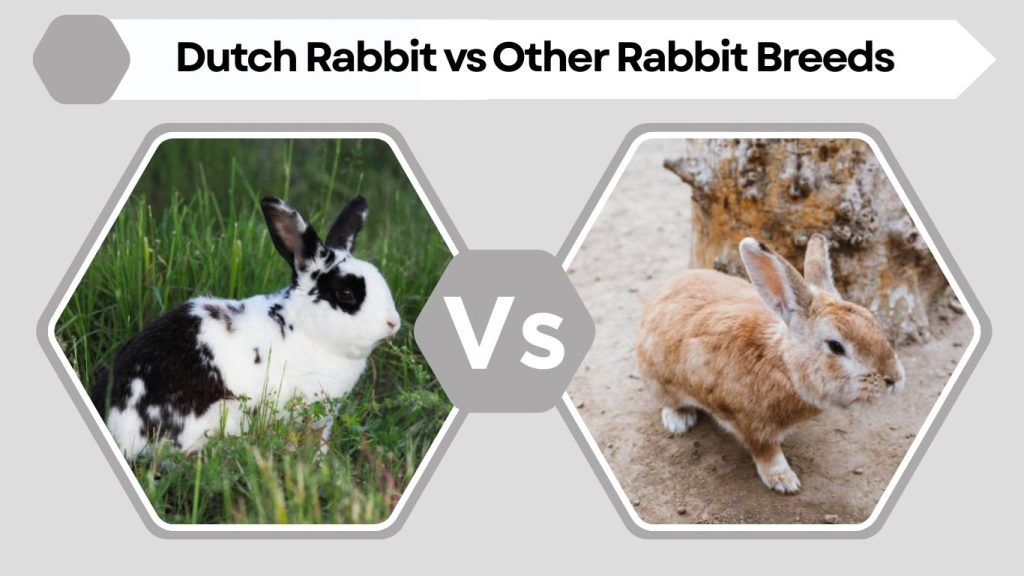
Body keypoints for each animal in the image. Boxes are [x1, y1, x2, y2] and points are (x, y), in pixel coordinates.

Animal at [636, 234, 905, 494]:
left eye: (872, 320)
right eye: (836, 346)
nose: (895, 379)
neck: (783, 364)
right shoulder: (751, 425)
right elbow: (768, 453)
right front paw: (784, 481)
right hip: (659, 381)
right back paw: (678, 421)